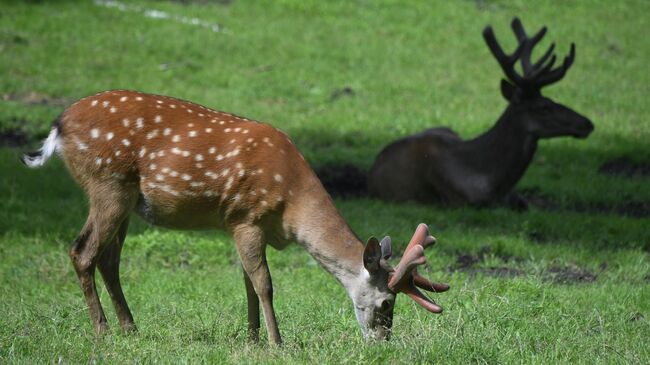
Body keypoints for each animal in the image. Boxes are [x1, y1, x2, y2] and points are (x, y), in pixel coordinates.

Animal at [19, 89, 446, 342]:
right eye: (387, 304)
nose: (382, 341)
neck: (291, 205)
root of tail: (58, 127)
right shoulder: (247, 216)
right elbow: (265, 284)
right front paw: (277, 342)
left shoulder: (242, 226)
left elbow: (247, 283)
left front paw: (253, 338)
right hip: (107, 182)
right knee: (82, 251)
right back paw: (103, 330)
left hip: (124, 199)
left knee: (109, 260)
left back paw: (131, 328)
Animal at [368, 17, 588, 208]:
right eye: (544, 107)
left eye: (552, 100)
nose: (588, 124)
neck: (494, 183)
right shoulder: (458, 200)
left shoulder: (514, 196)